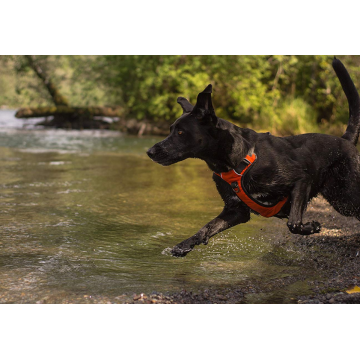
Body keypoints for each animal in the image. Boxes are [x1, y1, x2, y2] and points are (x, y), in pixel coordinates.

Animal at [146, 57, 360, 258]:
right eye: (170, 130)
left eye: (180, 133)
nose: (149, 151)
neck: (235, 160)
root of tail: (345, 140)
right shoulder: (235, 210)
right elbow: (206, 228)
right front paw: (184, 246)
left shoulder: (301, 180)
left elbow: (293, 222)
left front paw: (311, 227)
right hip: (340, 199)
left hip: (347, 195)